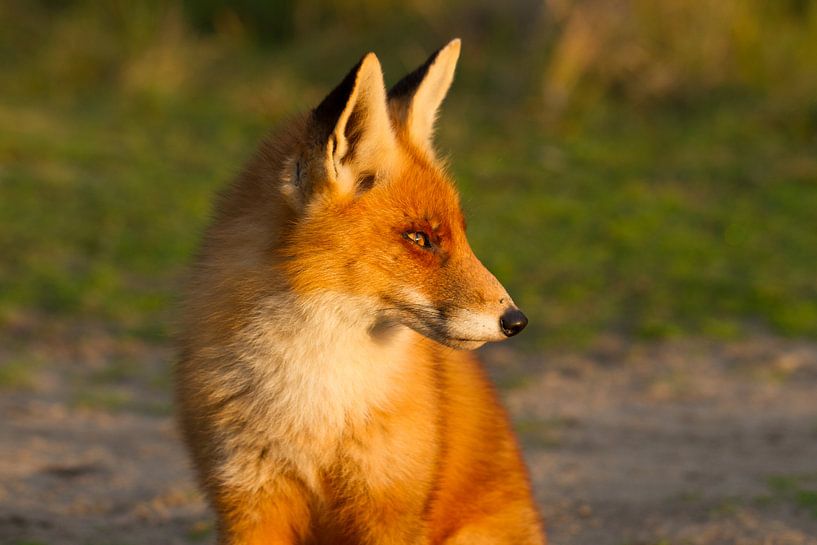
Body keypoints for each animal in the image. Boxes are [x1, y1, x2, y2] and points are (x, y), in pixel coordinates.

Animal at [175, 39, 545, 545]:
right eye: (419, 238)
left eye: (459, 234)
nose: (516, 320)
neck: (316, 406)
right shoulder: (248, 499)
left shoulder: (387, 502)